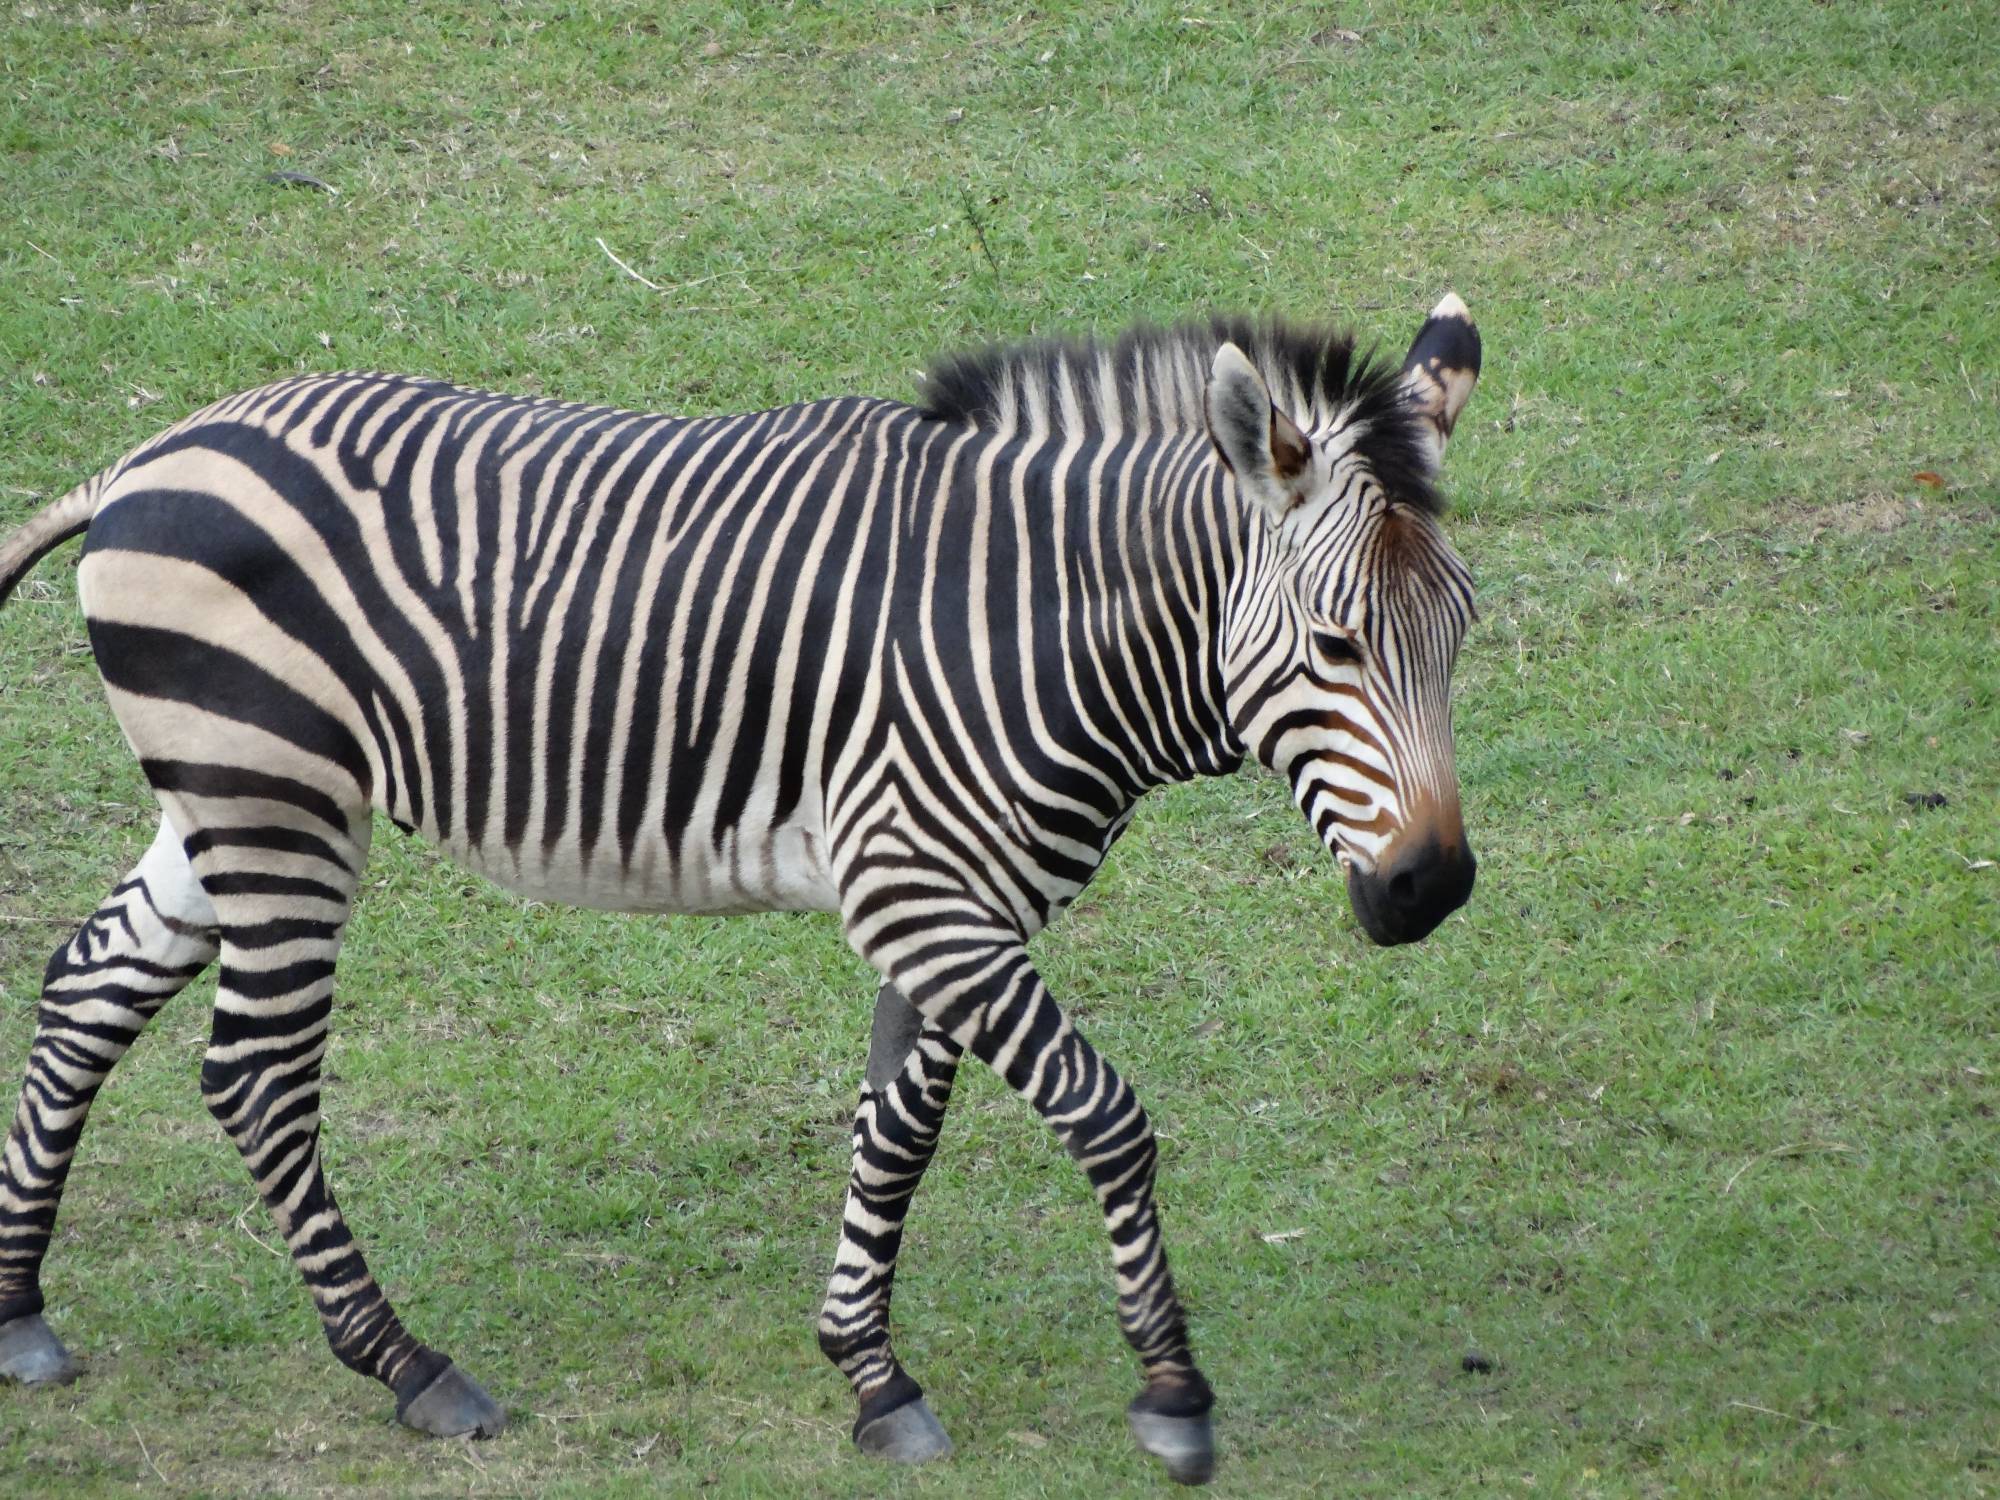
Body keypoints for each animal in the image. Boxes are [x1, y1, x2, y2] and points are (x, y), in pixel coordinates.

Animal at [3, 296, 1488, 1496]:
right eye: (1336, 644)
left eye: (1459, 632)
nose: (1431, 889)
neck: (1030, 621)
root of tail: (149, 453)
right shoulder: (917, 894)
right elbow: (1105, 1117)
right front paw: (1173, 1397)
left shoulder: (952, 902)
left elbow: (898, 1134)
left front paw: (870, 1376)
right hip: (277, 803)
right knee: (253, 1077)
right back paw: (411, 1366)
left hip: (224, 804)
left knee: (85, 983)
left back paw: (20, 1309)